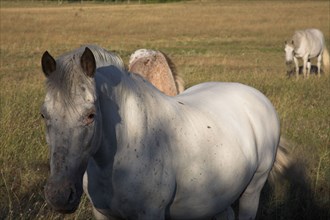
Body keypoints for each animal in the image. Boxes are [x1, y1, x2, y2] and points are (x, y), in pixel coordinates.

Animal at [40, 45, 288, 219]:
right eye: (44, 114)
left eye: (91, 115)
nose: (59, 196)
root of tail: (258, 97)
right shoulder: (102, 214)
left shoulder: (151, 214)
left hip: (252, 190)